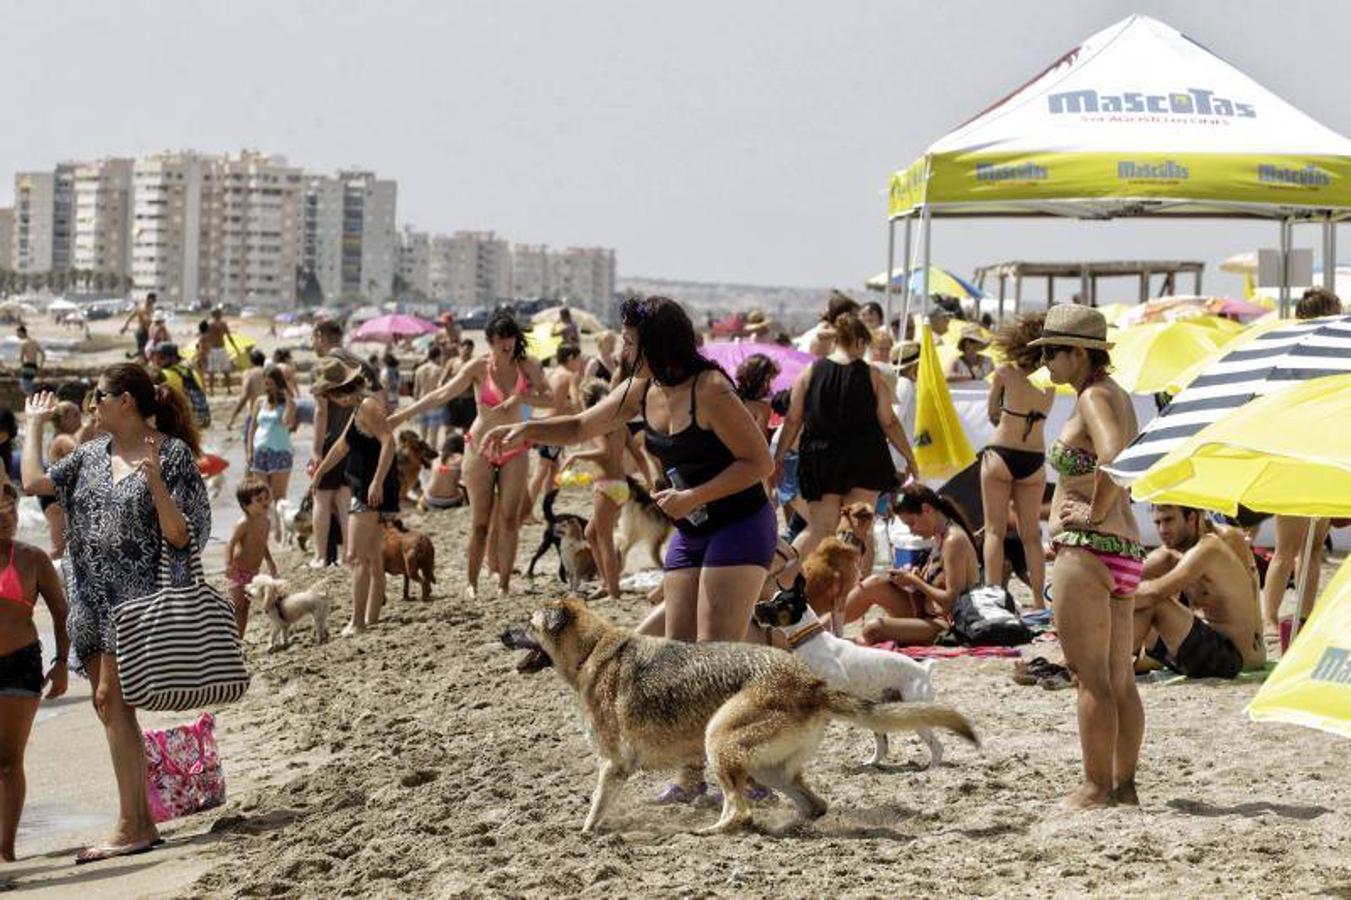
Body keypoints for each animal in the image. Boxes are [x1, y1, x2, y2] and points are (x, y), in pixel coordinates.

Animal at [756, 589, 945, 762]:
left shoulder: (837, 682)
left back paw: (930, 767)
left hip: (917, 714)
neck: (810, 640)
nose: (757, 605)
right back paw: (872, 763)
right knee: (882, 745)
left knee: (937, 746)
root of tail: (923, 670)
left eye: (780, 602)